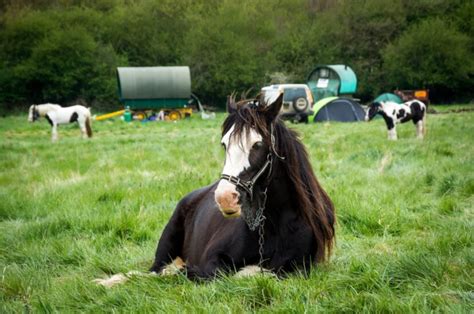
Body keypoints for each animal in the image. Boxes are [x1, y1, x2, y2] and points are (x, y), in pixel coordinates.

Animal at [94, 93, 336, 288]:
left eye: (258, 144)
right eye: (224, 144)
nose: (225, 198)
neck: (276, 224)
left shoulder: (300, 269)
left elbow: (259, 273)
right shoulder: (211, 261)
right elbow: (218, 273)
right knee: (155, 272)